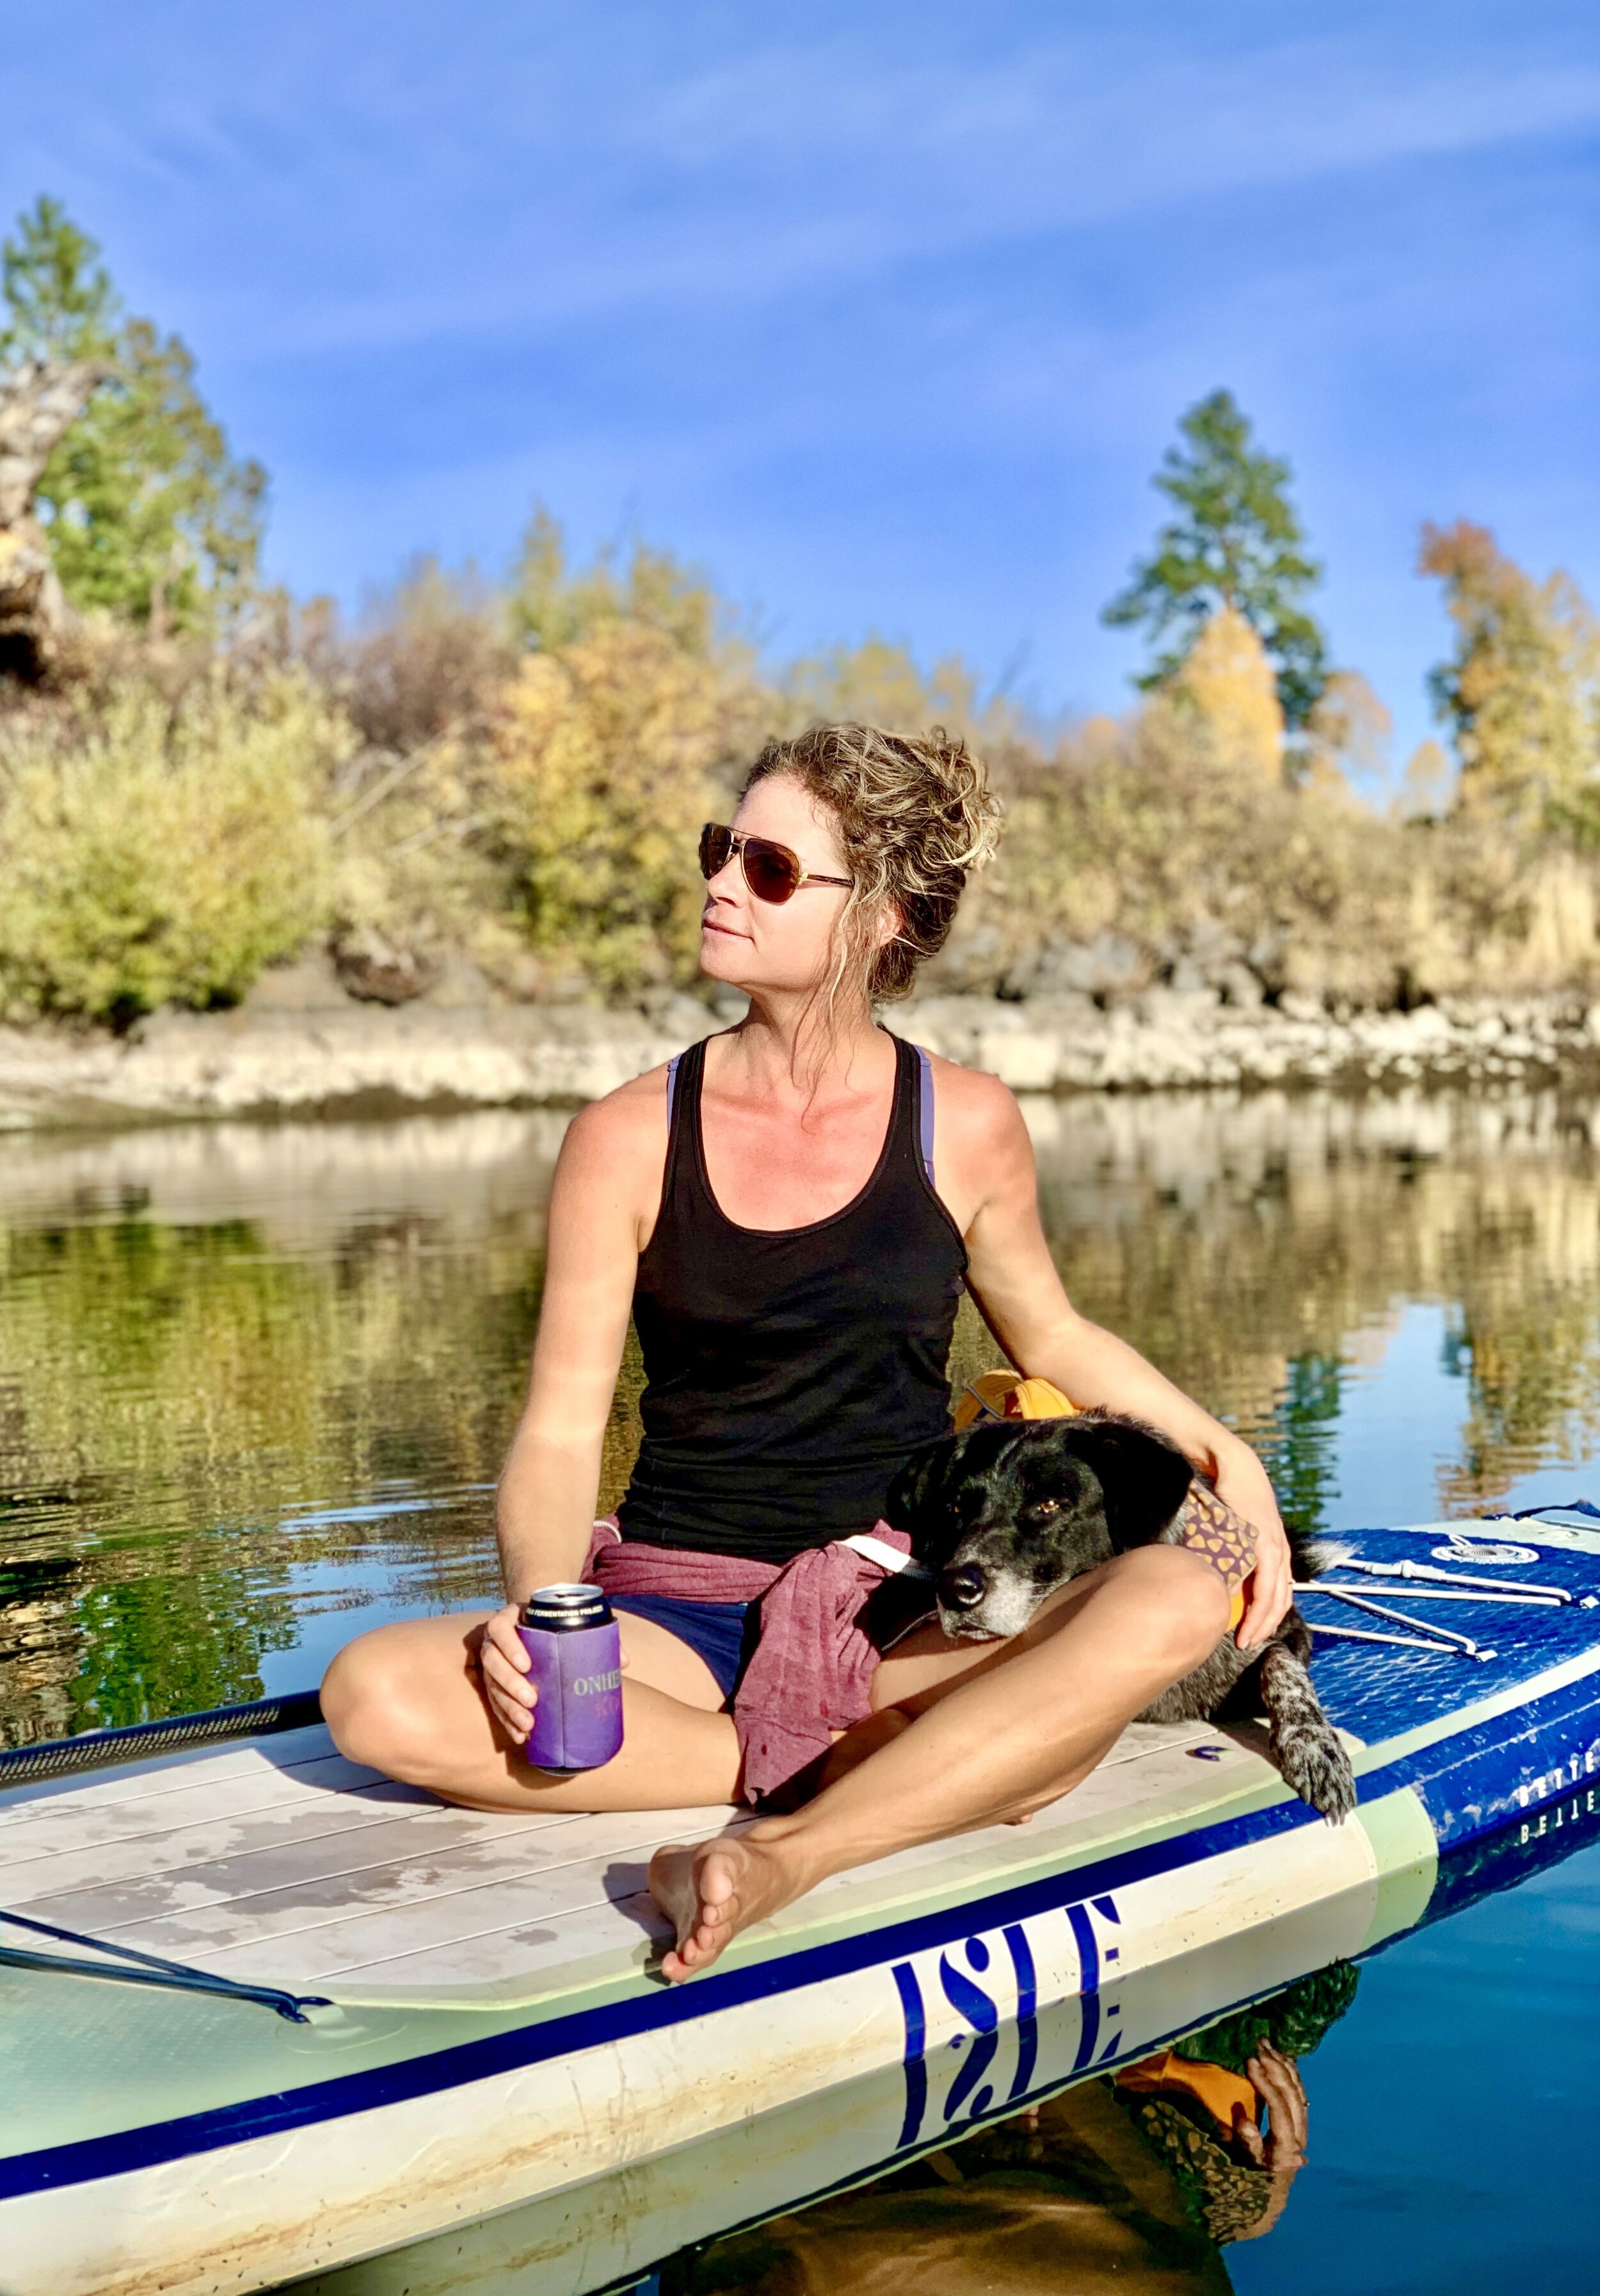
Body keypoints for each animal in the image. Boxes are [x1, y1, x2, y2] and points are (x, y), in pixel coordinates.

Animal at [890, 1405, 1350, 1818]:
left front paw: (1314, 1746)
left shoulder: (1280, 1629)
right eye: (956, 1509)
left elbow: (1281, 1663)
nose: (954, 1589)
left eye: (1050, 1503)